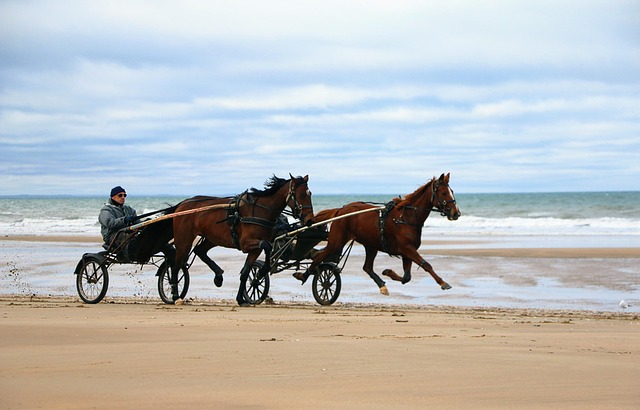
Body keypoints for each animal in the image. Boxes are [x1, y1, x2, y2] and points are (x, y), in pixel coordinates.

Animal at [170, 175, 314, 306]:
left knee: (199, 250)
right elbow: (267, 246)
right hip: (184, 240)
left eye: (310, 194)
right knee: (176, 266)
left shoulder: (255, 249)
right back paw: (175, 295)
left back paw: (218, 276)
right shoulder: (246, 243)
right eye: (301, 195)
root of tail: (182, 204)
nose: (310, 220)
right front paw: (261, 273)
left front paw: (241, 297)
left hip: (212, 238)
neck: (260, 211)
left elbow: (245, 272)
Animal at [294, 173, 460, 295]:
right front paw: (443, 283)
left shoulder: (407, 252)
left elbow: (406, 277)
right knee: (320, 257)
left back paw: (382, 285)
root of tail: (340, 210)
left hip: (371, 245)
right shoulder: (407, 249)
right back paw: (303, 275)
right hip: (337, 241)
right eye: (444, 192)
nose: (456, 213)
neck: (406, 217)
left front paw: (388, 272)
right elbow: (426, 264)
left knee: (367, 267)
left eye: (452, 191)